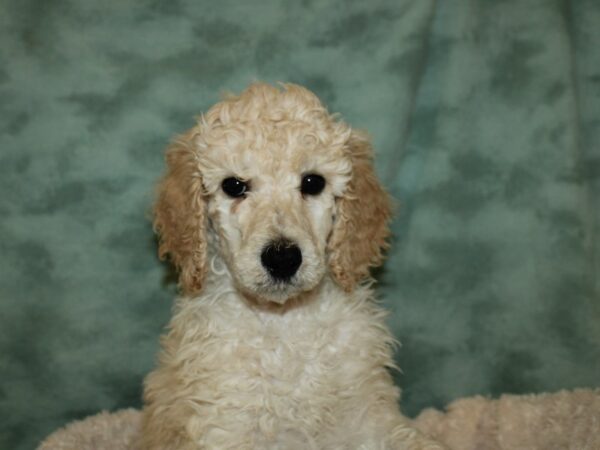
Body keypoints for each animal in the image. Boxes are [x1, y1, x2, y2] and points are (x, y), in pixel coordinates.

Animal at [137, 81, 446, 450]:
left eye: (313, 182)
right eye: (234, 186)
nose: (282, 258)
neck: (285, 322)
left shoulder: (367, 416)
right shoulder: (226, 424)